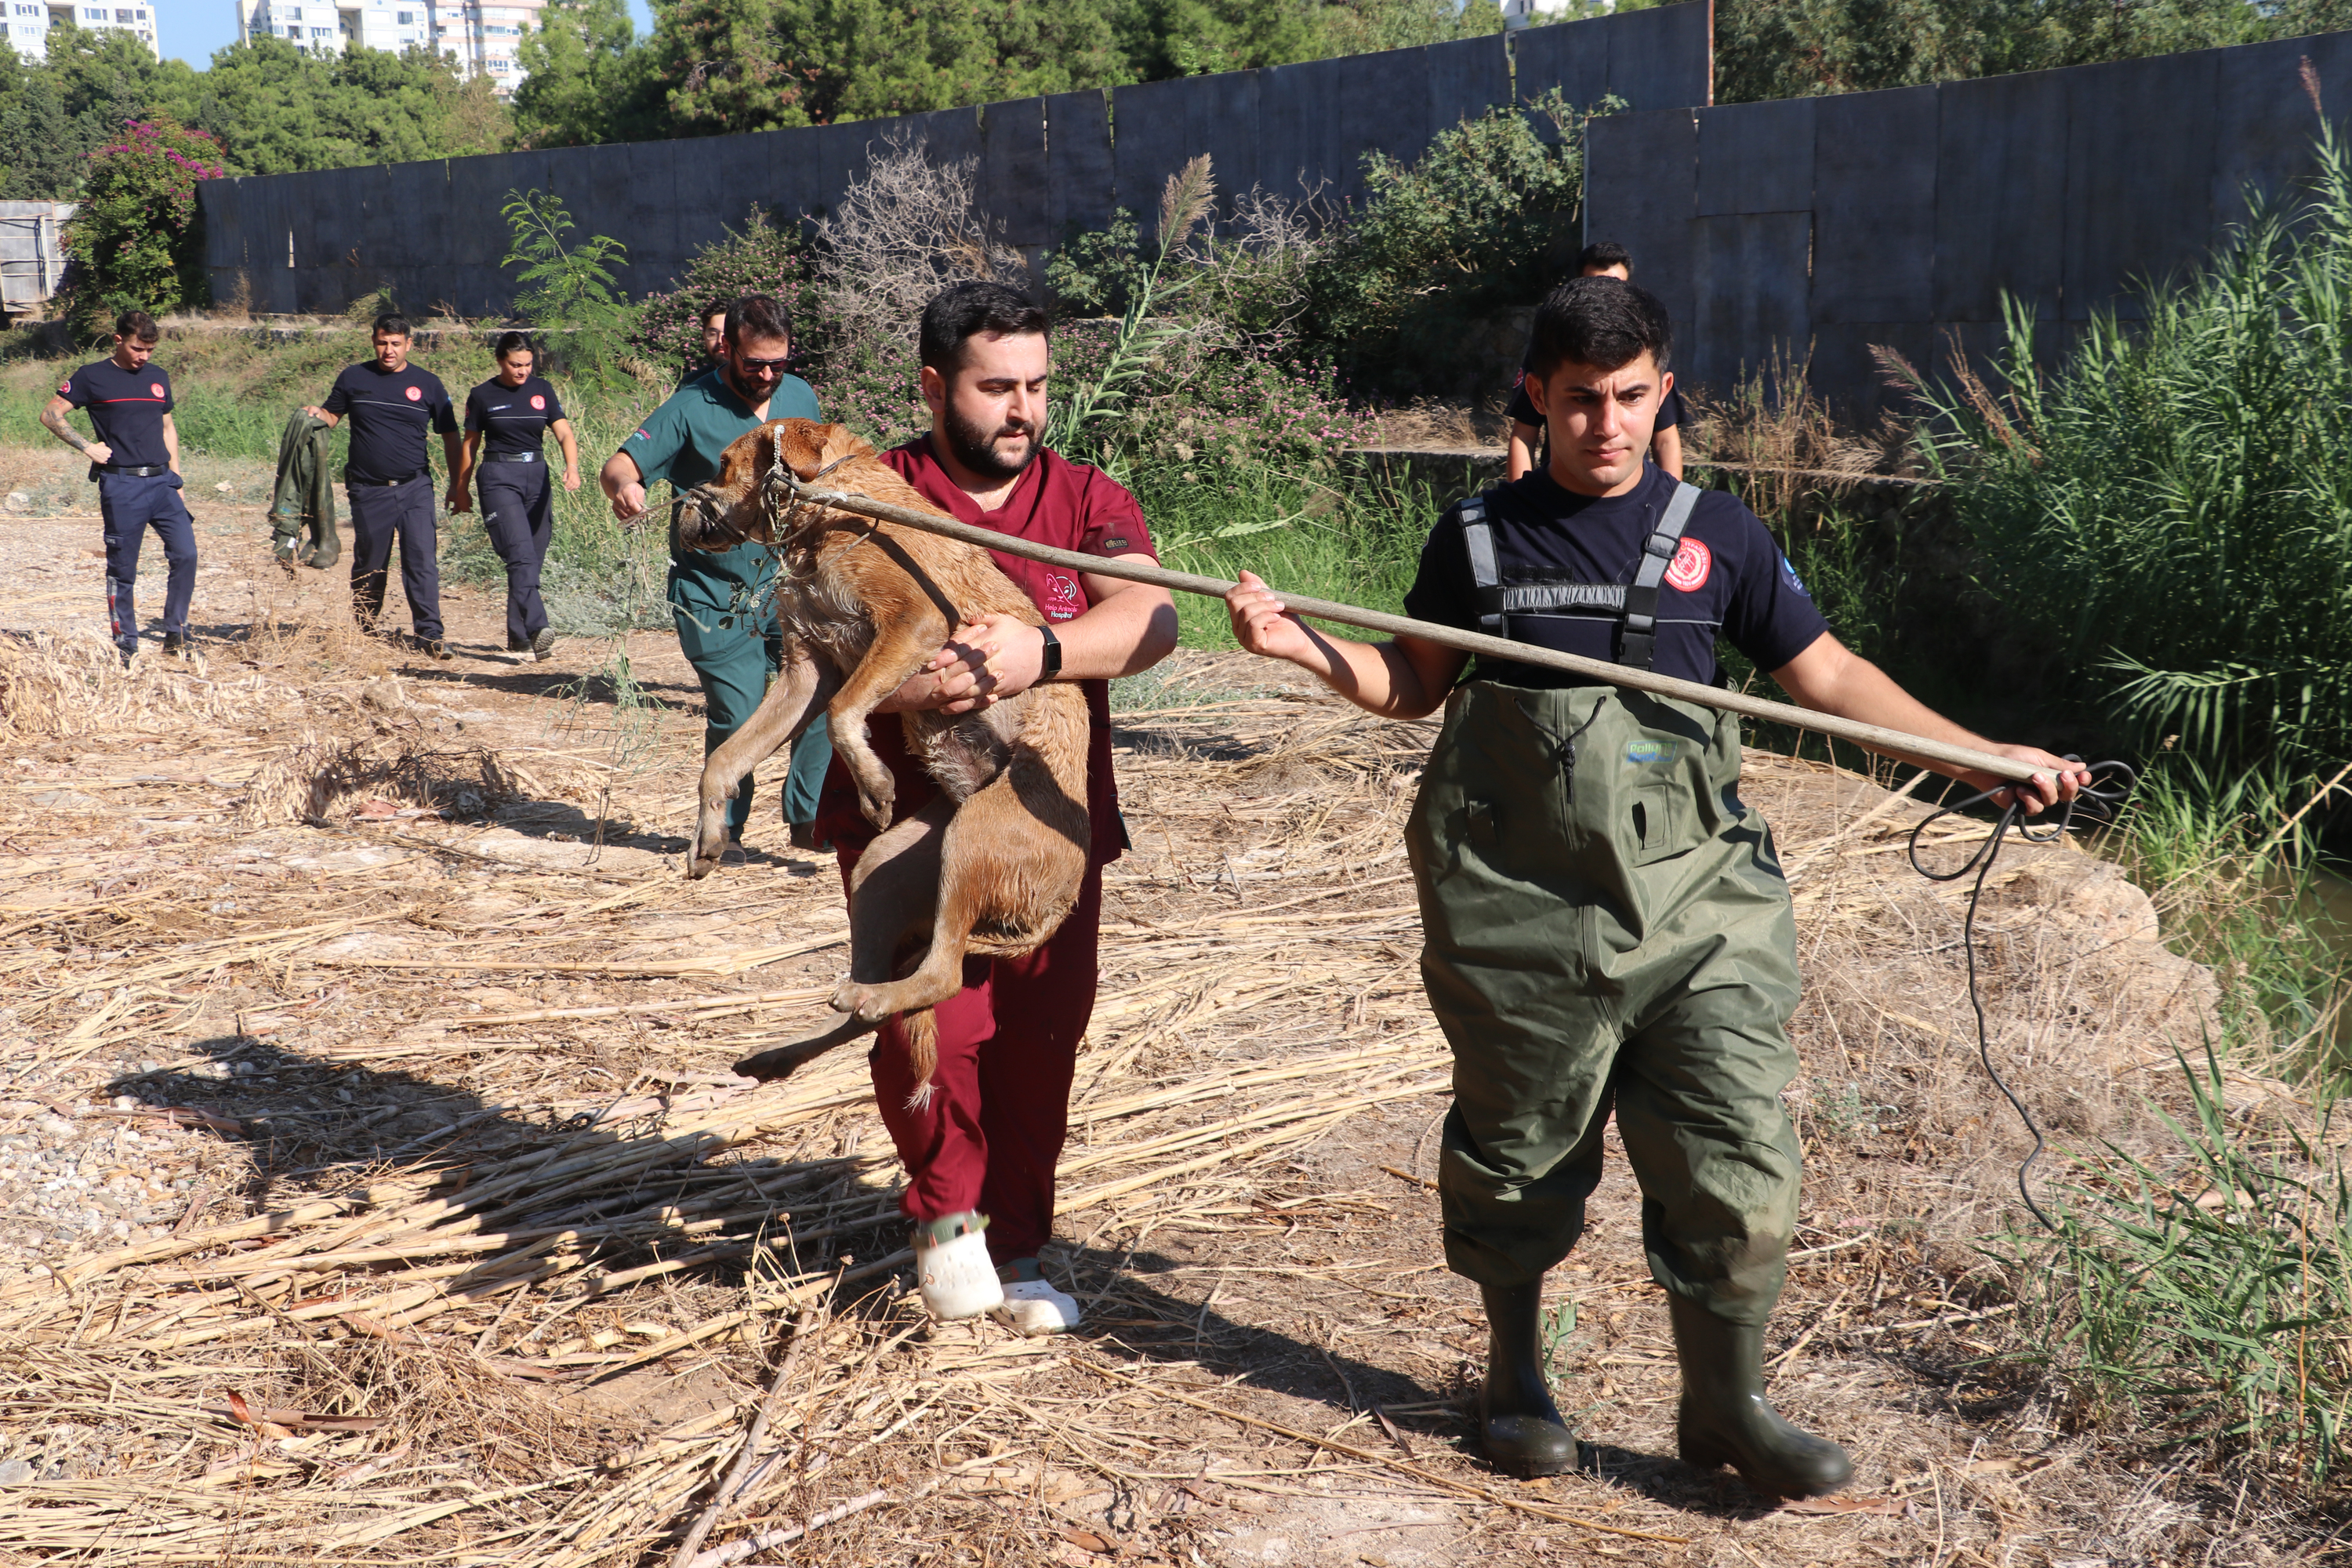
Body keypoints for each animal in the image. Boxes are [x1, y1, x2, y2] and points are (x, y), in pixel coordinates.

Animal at [673, 420, 1091, 1105]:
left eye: (724, 464)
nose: (681, 510)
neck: (835, 508)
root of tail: (1062, 905)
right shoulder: (803, 672)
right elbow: (724, 760)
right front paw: (707, 839)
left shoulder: (912, 624)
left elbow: (845, 712)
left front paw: (872, 781)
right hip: (884, 869)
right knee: (871, 1004)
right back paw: (785, 1050)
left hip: (973, 837)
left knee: (944, 975)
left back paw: (867, 999)